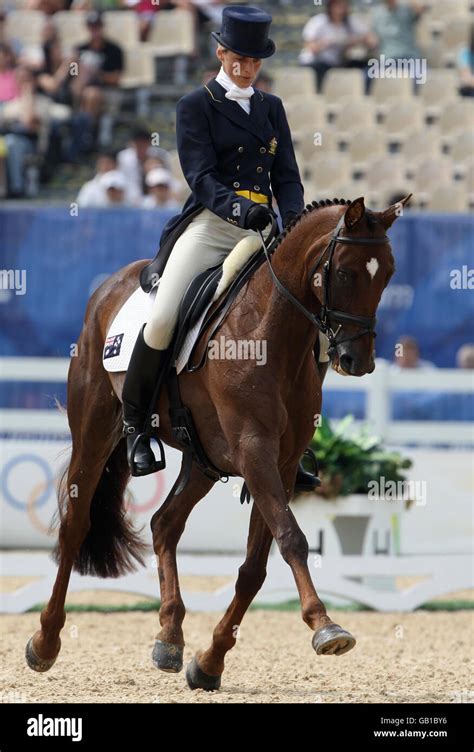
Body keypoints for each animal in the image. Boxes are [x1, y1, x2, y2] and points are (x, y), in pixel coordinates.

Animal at [25, 197, 408, 692]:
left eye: (388, 274)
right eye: (344, 272)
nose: (356, 360)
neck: (270, 331)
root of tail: (111, 285)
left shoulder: (281, 463)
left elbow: (255, 566)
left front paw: (209, 661)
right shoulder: (254, 448)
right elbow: (292, 539)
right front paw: (326, 627)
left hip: (202, 459)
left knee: (165, 524)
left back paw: (169, 637)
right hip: (93, 428)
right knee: (75, 525)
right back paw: (45, 641)